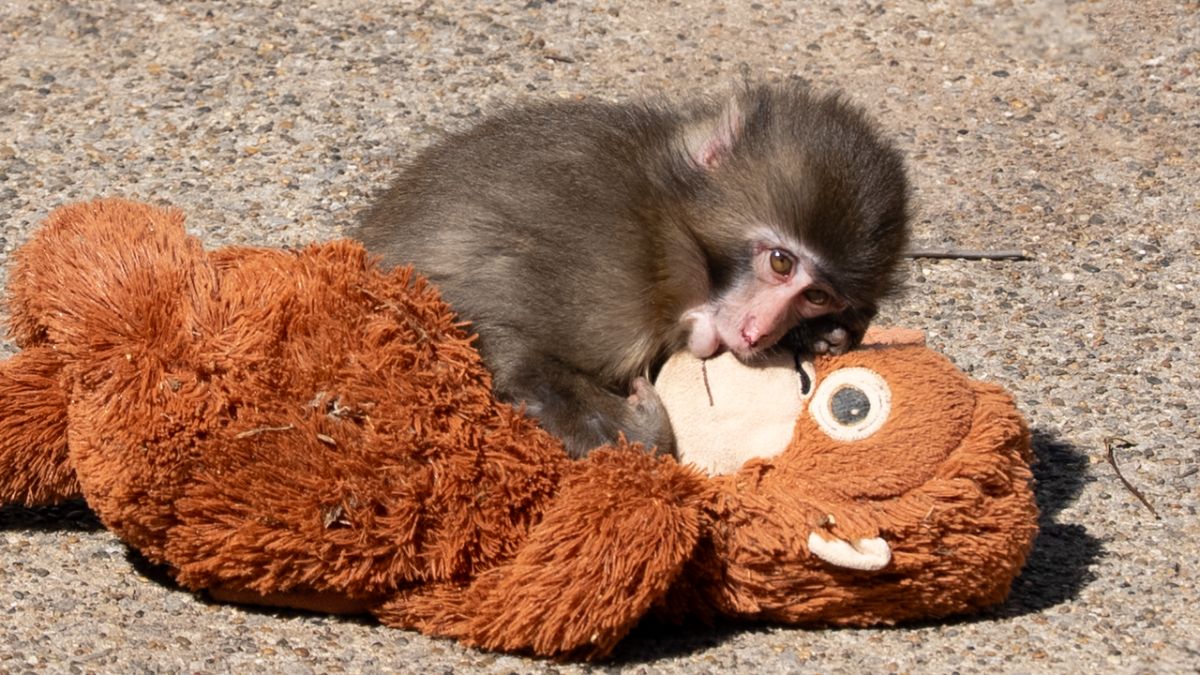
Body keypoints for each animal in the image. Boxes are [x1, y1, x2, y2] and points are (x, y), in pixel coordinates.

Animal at [355, 82, 910, 459]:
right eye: (780, 262)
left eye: (816, 296)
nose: (760, 331)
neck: (666, 228)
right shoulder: (606, 271)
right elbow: (501, 343)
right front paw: (645, 430)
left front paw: (823, 335)